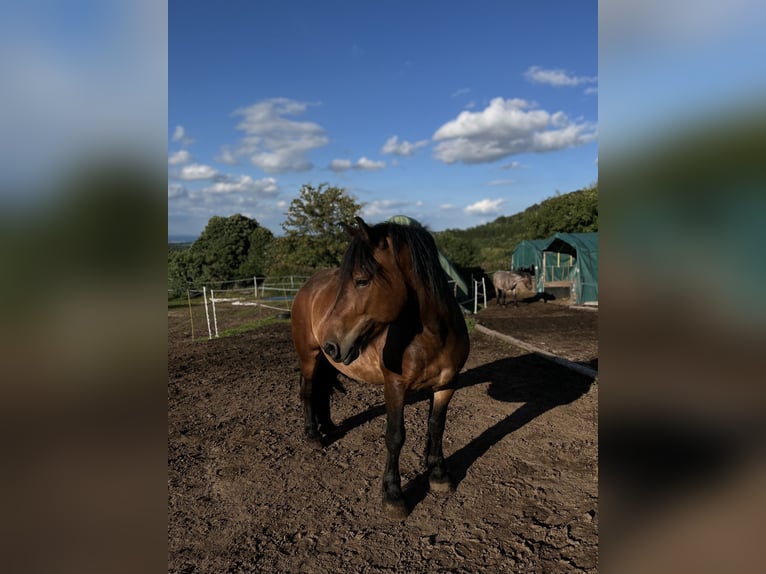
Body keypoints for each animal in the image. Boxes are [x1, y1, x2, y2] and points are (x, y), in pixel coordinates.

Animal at [290, 217, 470, 517]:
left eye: (362, 281)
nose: (331, 343)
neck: (433, 335)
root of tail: (306, 288)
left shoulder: (447, 384)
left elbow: (436, 426)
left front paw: (439, 475)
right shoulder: (395, 387)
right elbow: (395, 436)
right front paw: (394, 495)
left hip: (329, 362)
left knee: (323, 390)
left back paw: (329, 426)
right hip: (310, 356)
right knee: (308, 391)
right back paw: (313, 435)